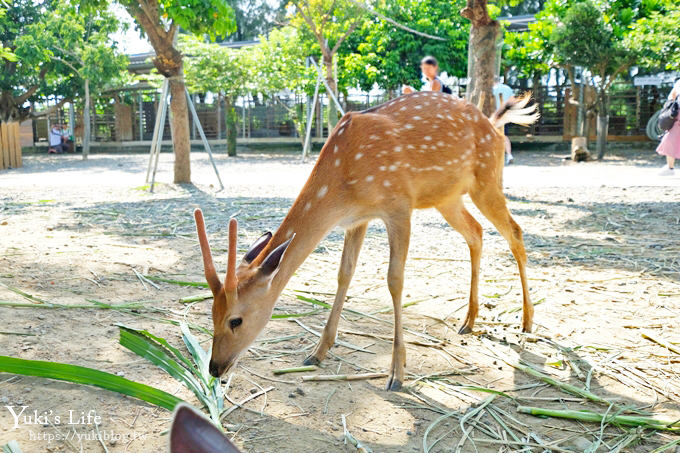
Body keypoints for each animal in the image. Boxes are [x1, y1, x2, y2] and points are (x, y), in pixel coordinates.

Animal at [194, 91, 540, 388]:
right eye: (211, 313)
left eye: (235, 320)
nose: (214, 368)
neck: (343, 183)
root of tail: (494, 124)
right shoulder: (357, 219)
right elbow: (344, 274)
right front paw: (317, 352)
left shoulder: (399, 205)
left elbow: (394, 280)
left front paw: (397, 373)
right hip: (447, 197)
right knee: (476, 232)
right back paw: (468, 319)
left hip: (487, 180)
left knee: (514, 231)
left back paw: (526, 320)